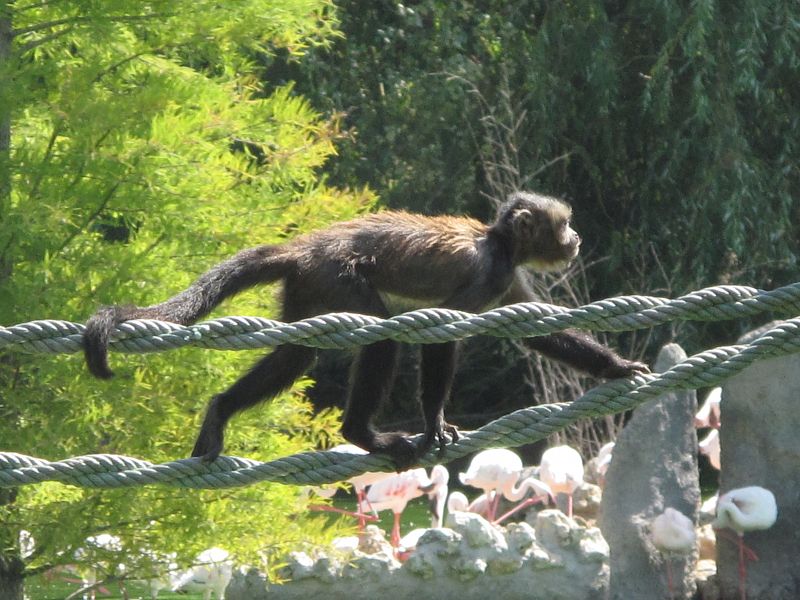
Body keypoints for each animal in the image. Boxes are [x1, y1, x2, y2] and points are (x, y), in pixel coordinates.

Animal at [83, 191, 649, 467]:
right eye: (564, 224)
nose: (576, 238)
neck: (501, 244)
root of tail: (306, 246)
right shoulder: (489, 269)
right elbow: (440, 333)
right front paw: (435, 421)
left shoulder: (506, 278)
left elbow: (537, 329)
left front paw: (617, 368)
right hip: (335, 276)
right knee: (378, 333)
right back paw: (363, 435)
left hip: (308, 288)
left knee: (299, 353)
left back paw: (221, 409)